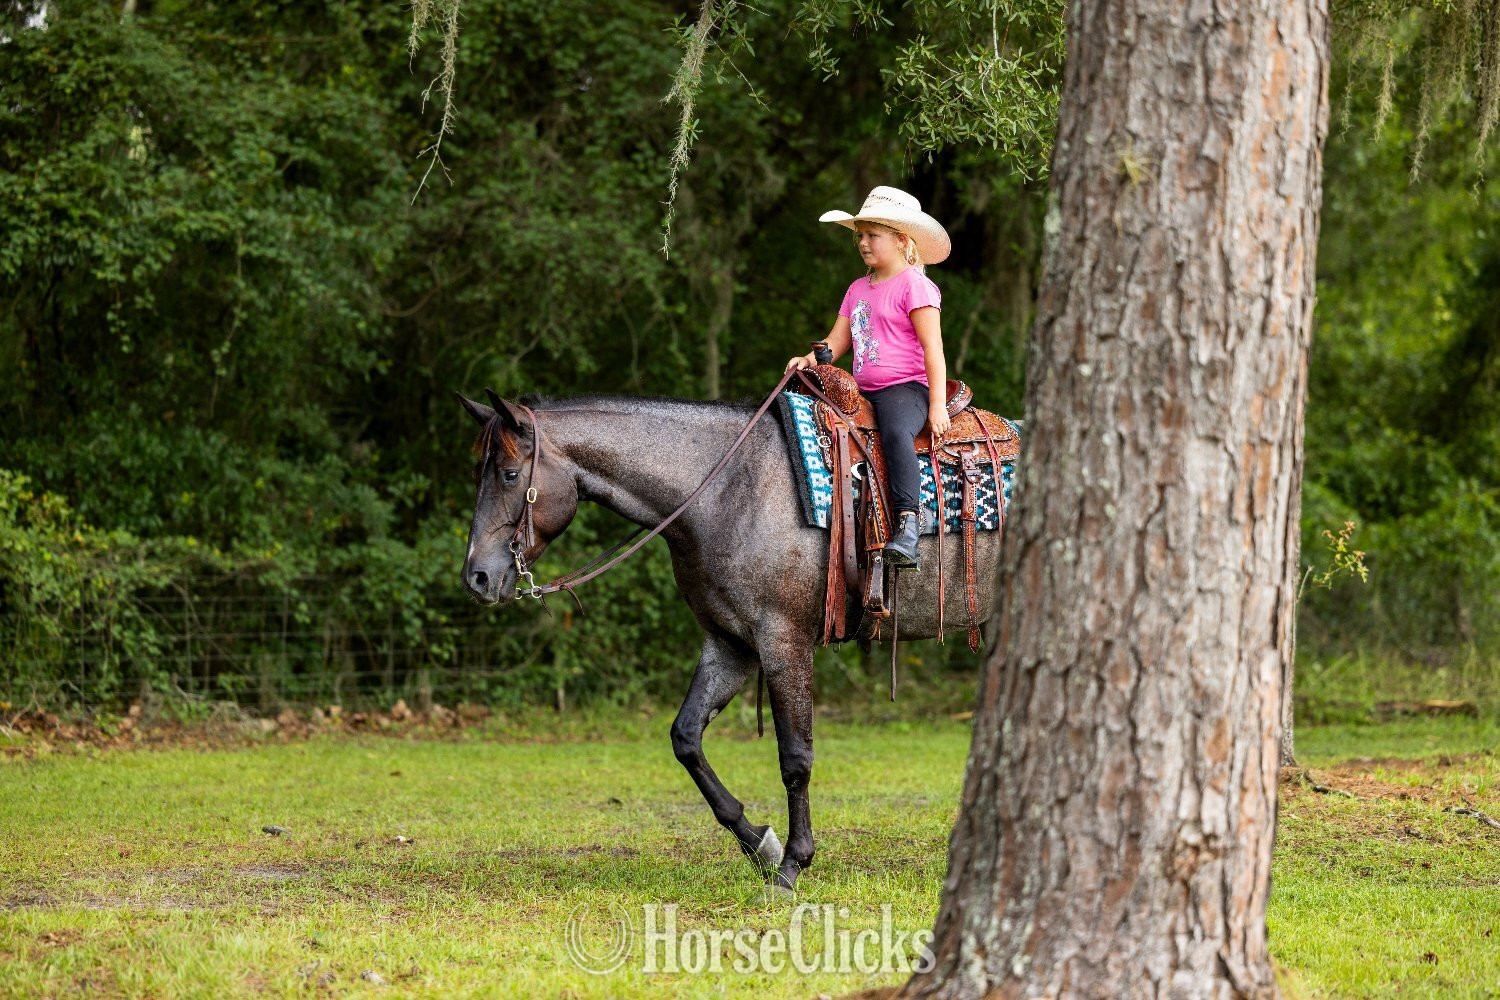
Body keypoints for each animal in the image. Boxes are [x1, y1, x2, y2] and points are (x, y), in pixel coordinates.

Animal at [456, 389, 1005, 893]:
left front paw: (793, 864)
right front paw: (760, 843)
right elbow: (685, 738)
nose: (477, 577)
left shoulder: (783, 642)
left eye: (509, 474)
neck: (727, 492)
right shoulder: (729, 643)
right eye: (478, 473)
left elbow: (796, 758)